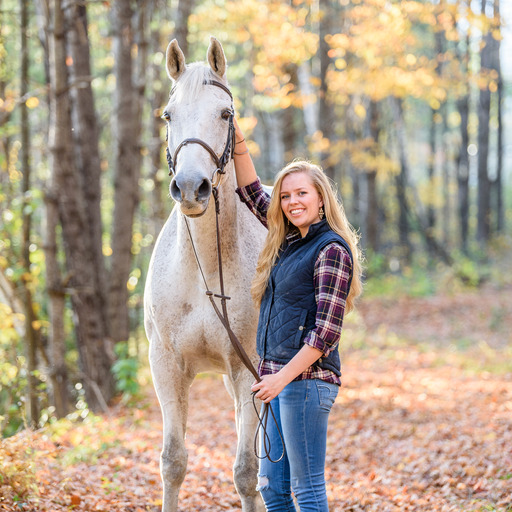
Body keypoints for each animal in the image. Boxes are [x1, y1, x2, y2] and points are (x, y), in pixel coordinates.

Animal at [143, 37, 266, 512]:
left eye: (225, 114)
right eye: (168, 114)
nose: (191, 188)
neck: (203, 273)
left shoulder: (249, 370)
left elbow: (246, 472)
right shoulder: (166, 364)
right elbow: (173, 462)